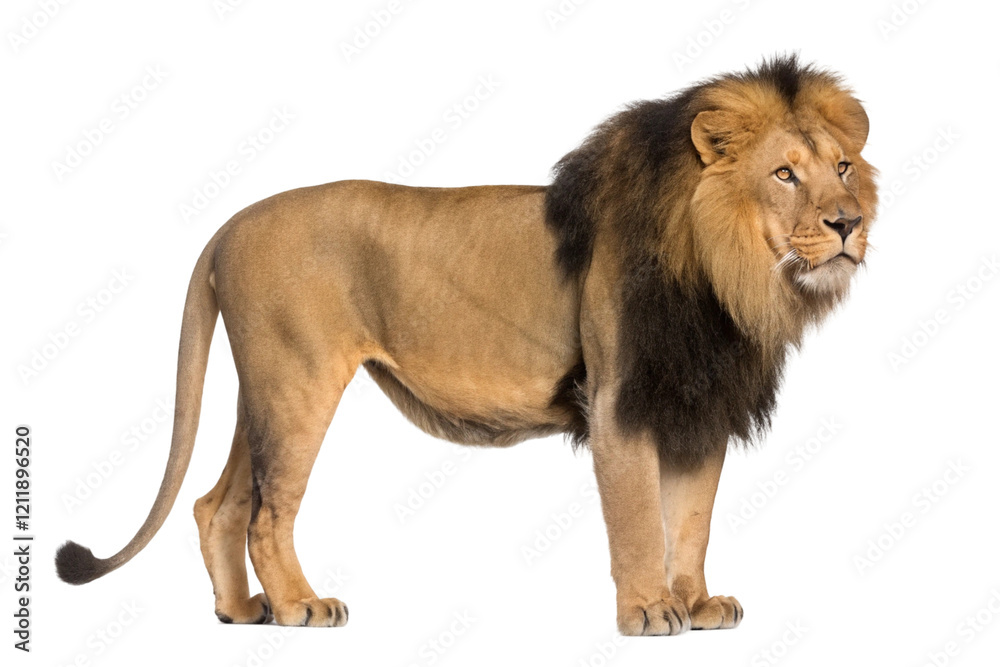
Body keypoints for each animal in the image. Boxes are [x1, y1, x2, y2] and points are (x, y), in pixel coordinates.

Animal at [56, 55, 877, 635]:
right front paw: (648, 611)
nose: (847, 223)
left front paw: (696, 603)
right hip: (296, 385)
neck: (727, 277)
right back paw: (298, 607)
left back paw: (240, 610)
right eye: (784, 173)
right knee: (266, 513)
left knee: (217, 503)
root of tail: (229, 224)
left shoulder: (693, 403)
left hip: (260, 389)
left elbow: (693, 519)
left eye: (841, 167)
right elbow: (643, 519)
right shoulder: (619, 401)